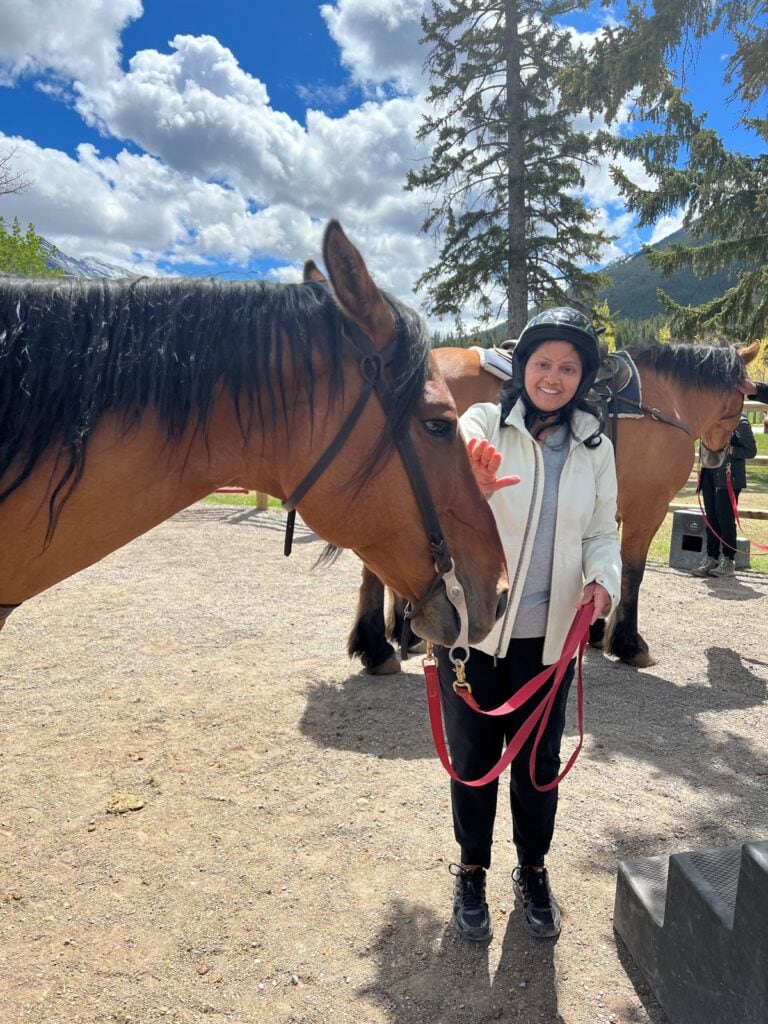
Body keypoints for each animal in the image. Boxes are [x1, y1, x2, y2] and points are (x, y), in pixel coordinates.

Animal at [348, 339, 760, 671]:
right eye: (745, 397)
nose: (716, 457)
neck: (662, 401)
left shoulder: (608, 506)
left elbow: (601, 569)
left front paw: (594, 630)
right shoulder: (649, 505)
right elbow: (631, 571)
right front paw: (629, 644)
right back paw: (378, 648)